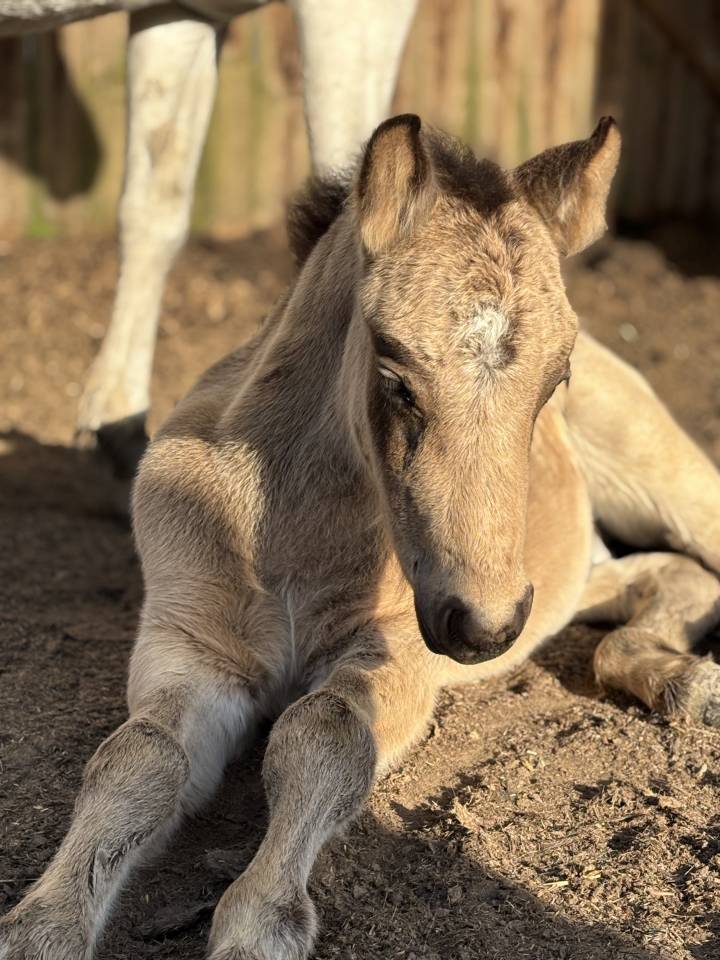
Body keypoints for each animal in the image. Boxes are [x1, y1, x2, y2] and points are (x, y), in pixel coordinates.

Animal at [3, 113, 720, 960]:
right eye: (393, 375)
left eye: (557, 380)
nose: (484, 629)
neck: (293, 542)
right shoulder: (189, 645)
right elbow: (137, 758)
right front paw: (40, 925)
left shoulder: (402, 649)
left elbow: (324, 734)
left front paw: (258, 924)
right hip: (559, 581)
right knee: (659, 579)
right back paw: (681, 678)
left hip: (641, 495)